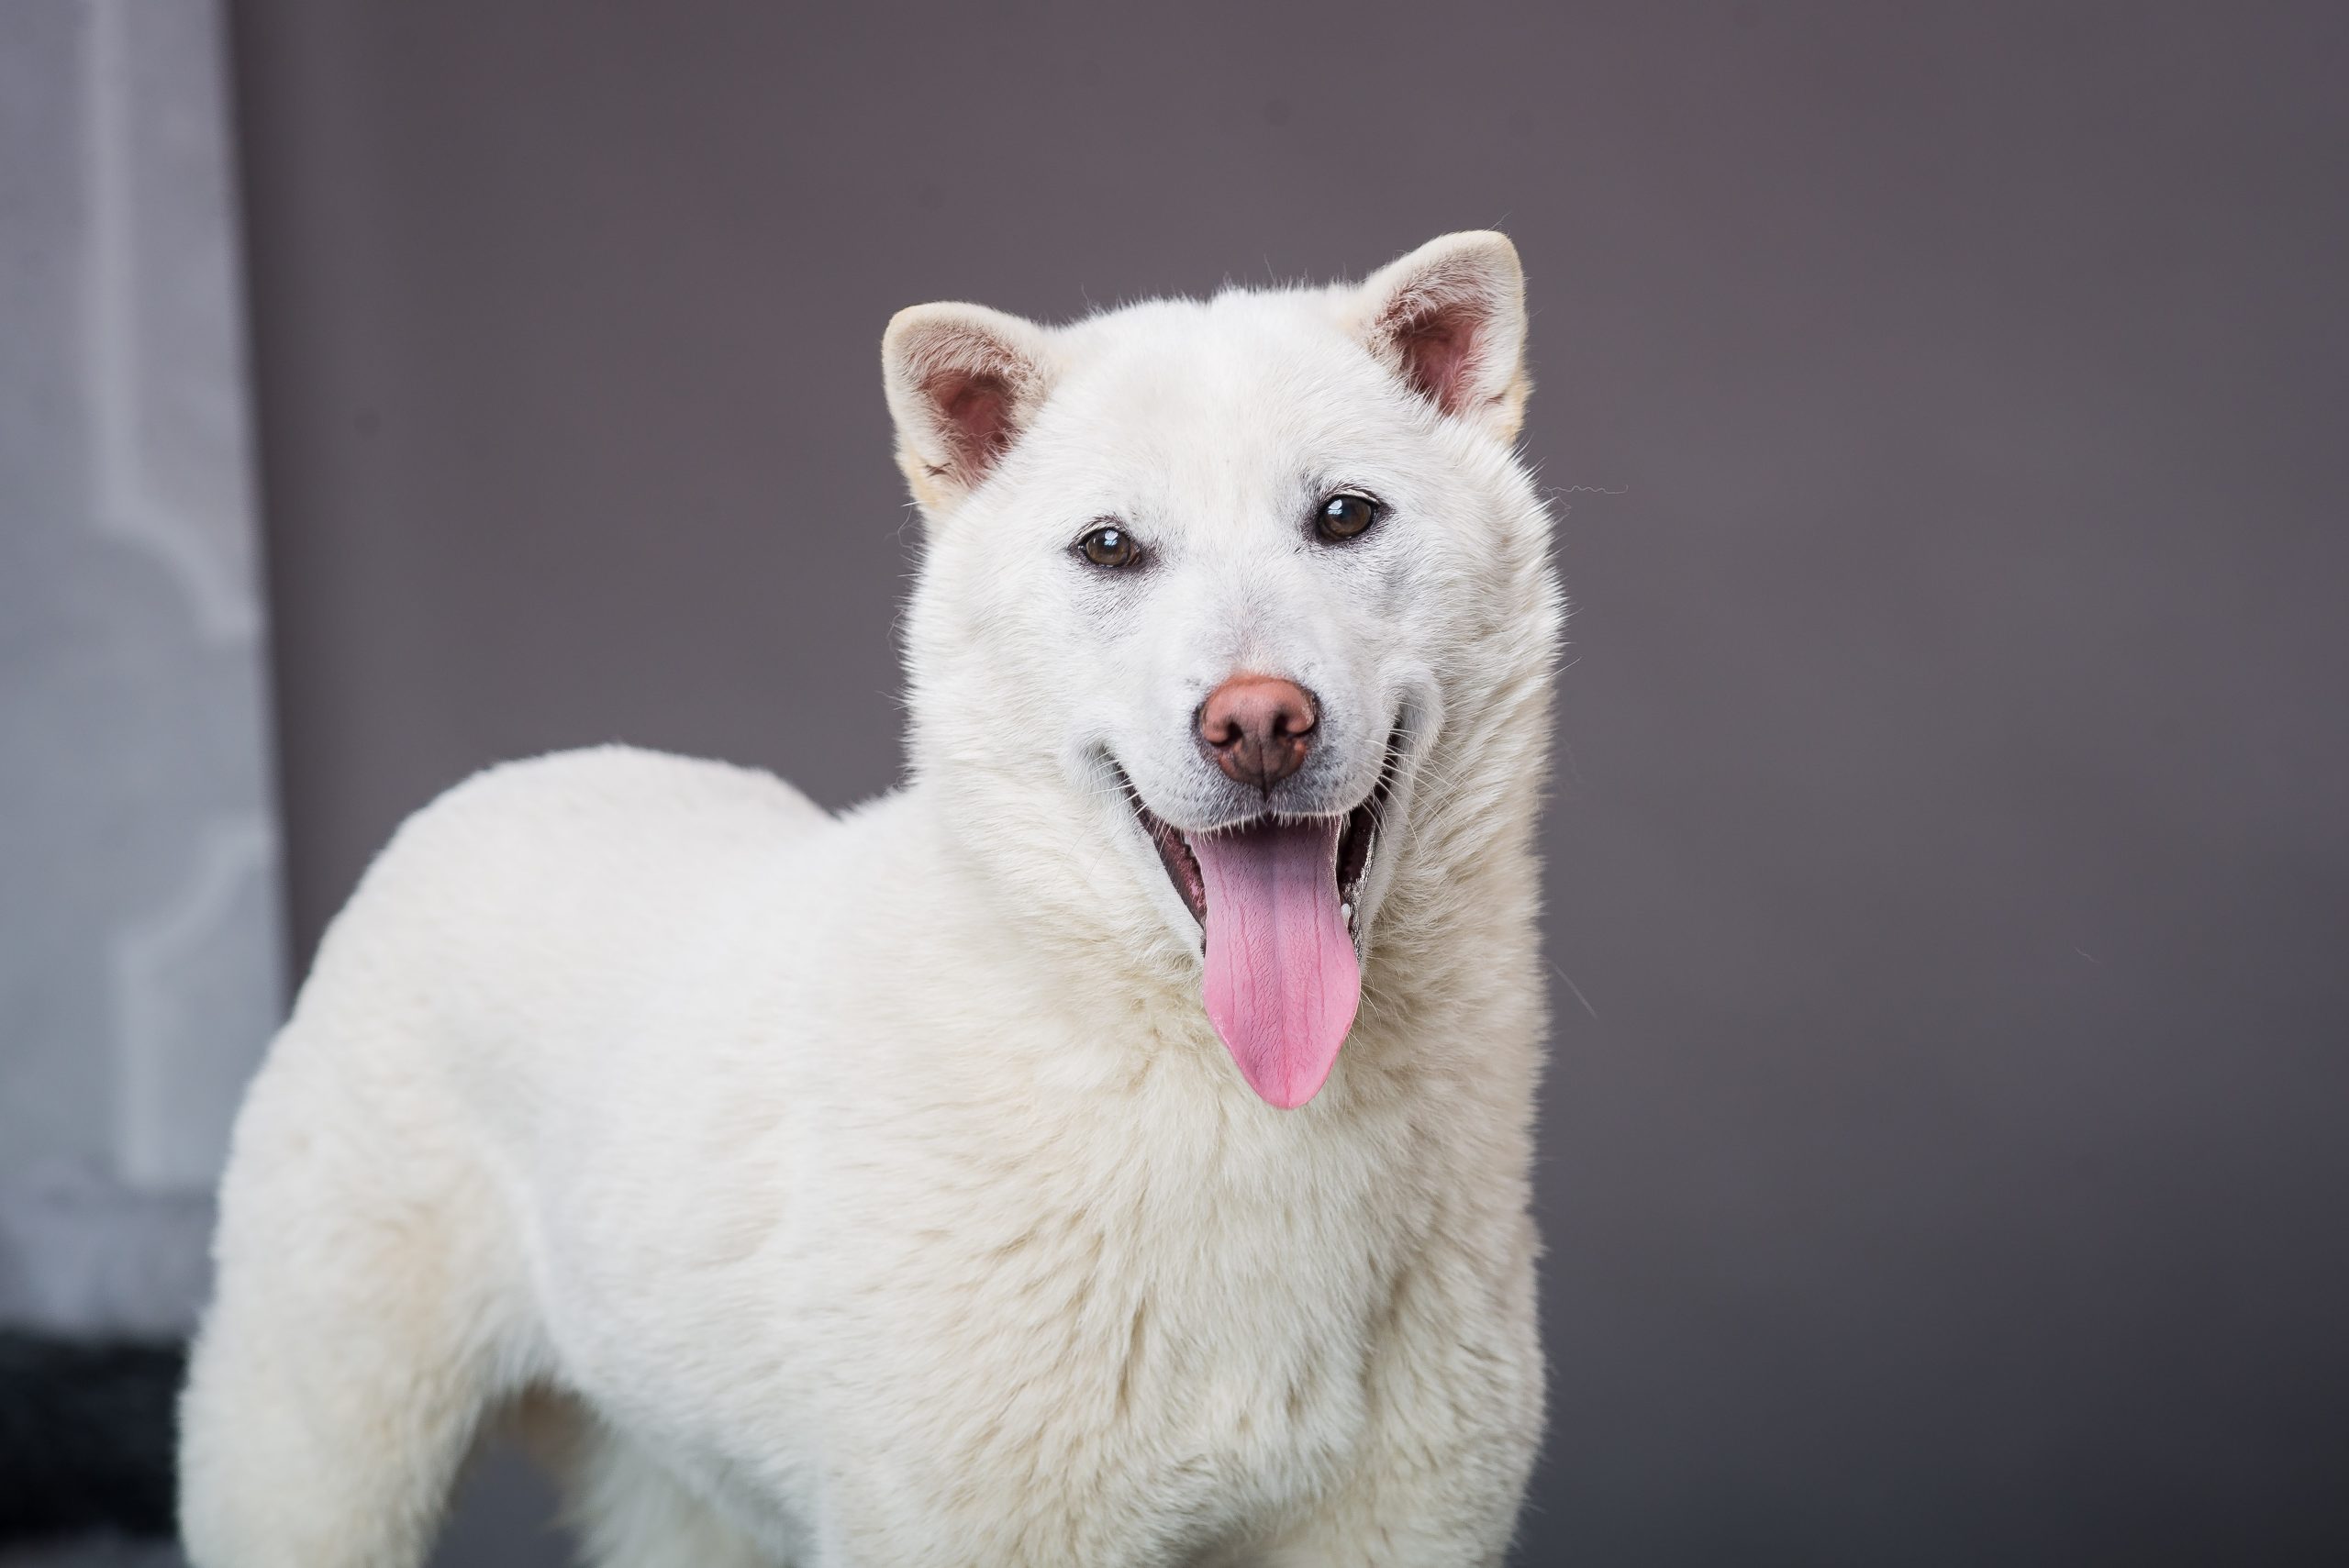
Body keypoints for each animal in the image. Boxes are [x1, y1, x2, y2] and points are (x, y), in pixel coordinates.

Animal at [178, 232, 1559, 1568]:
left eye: (1345, 516)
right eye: (1110, 547)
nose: (1258, 724)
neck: (1231, 1101)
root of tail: (496, 786)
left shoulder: (1404, 1523)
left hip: (677, 1489)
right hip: (318, 1451)